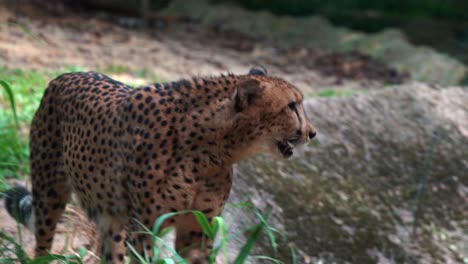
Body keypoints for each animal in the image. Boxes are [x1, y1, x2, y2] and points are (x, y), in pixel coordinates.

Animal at [3, 67, 316, 262]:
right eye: (291, 106)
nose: (313, 133)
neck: (212, 151)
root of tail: (66, 75)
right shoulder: (145, 228)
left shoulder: (197, 228)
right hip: (51, 196)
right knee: (42, 246)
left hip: (112, 216)